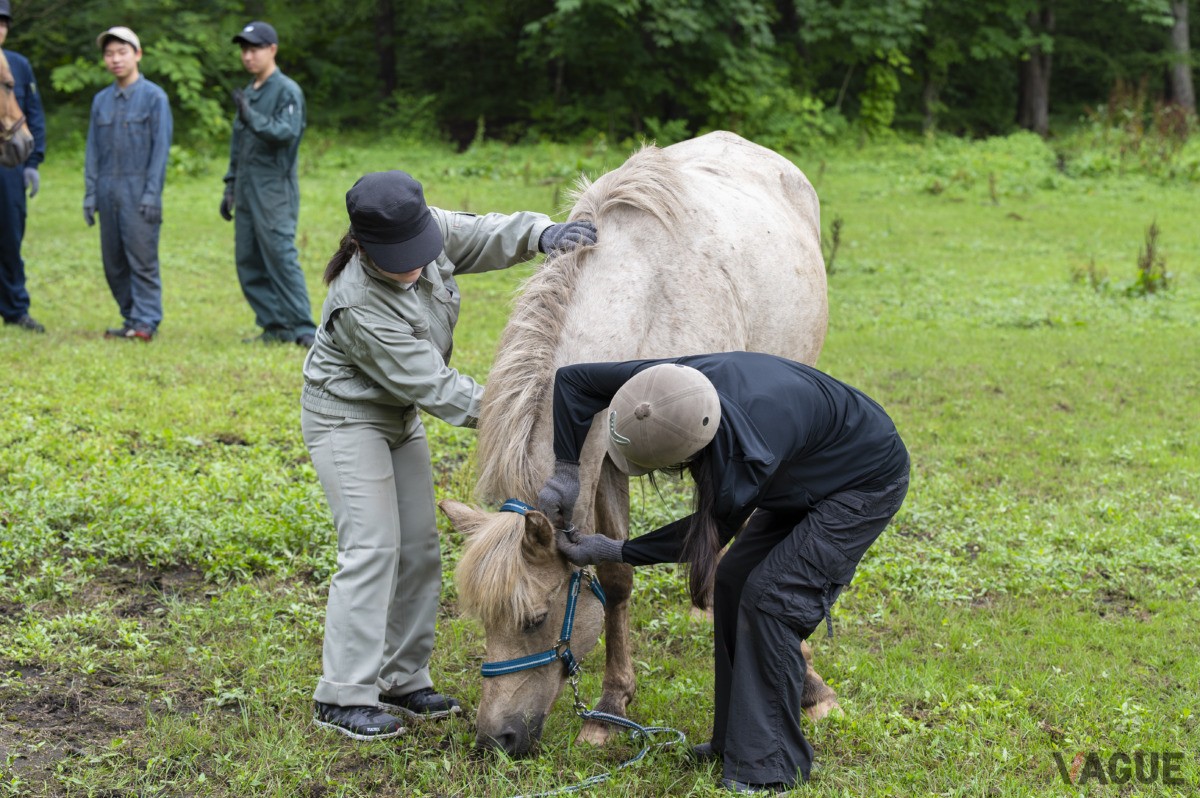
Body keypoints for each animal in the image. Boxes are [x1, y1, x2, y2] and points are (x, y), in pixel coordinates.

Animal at [440, 131, 837, 757]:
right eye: (482, 619)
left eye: (534, 619)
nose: (495, 738)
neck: (642, 298)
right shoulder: (602, 464)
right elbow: (617, 578)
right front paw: (608, 708)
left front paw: (810, 688)